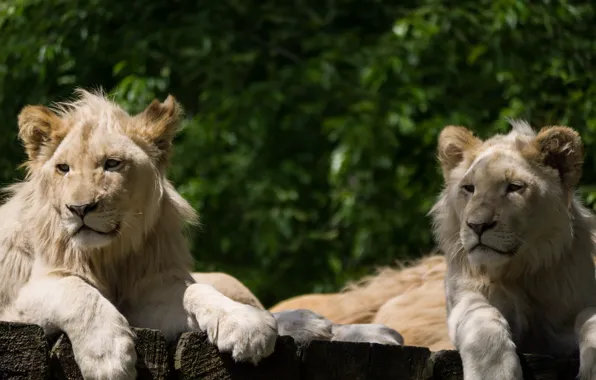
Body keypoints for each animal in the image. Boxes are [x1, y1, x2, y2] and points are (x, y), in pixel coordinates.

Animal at [0, 90, 280, 380]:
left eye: (112, 164)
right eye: (63, 168)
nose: (79, 209)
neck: (108, 255)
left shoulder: (145, 295)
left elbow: (194, 289)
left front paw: (246, 324)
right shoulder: (15, 305)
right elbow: (77, 290)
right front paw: (107, 355)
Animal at [434, 121, 596, 380]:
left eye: (514, 187)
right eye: (469, 188)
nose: (477, 225)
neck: (520, 270)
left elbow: (589, 315)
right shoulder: (463, 297)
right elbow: (481, 315)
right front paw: (492, 373)